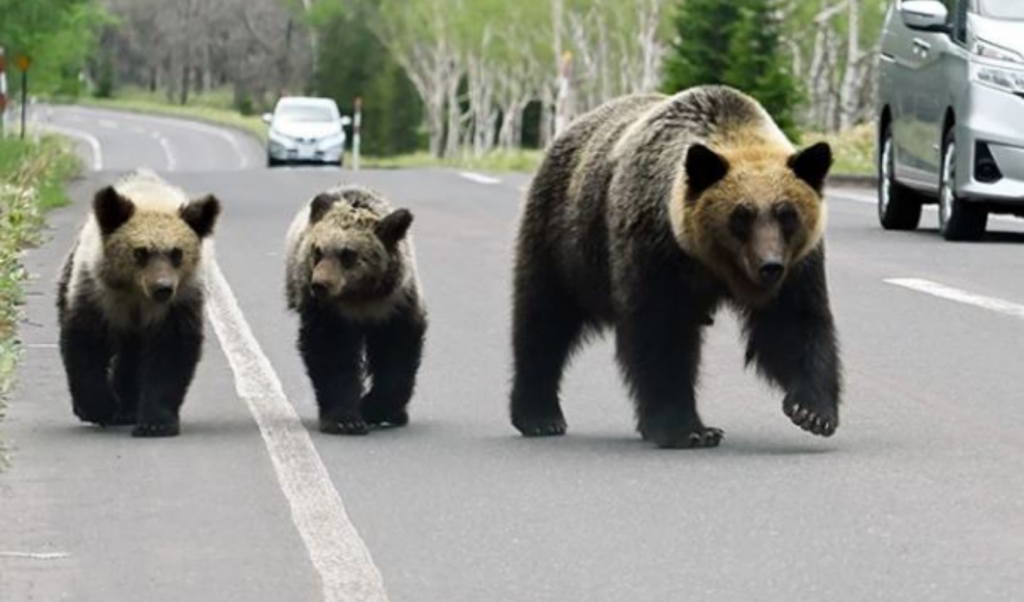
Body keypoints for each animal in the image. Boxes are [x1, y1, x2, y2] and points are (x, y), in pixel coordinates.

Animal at [57, 170, 221, 437]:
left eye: (177, 253)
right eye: (140, 252)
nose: (163, 288)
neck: (137, 293)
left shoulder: (179, 302)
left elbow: (170, 352)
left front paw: (156, 422)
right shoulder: (97, 293)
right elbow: (87, 344)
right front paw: (99, 407)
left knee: (132, 358)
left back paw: (128, 408)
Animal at [285, 185, 427, 435]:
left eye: (348, 254)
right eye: (317, 250)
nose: (319, 284)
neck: (360, 297)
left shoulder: (396, 303)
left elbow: (397, 352)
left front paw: (377, 409)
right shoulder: (328, 312)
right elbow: (332, 354)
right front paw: (345, 419)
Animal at [510, 85, 841, 449]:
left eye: (787, 214)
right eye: (741, 215)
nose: (770, 266)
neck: (712, 266)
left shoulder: (799, 265)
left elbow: (793, 323)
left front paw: (812, 411)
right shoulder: (656, 250)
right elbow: (661, 334)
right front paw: (689, 429)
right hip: (565, 239)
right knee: (544, 318)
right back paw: (539, 416)